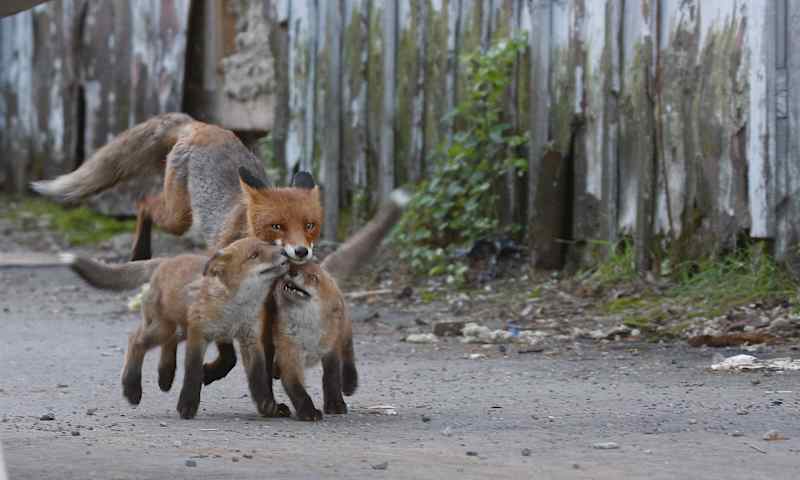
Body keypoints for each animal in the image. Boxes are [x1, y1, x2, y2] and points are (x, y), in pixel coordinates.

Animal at [30, 113, 322, 263]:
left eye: (310, 226)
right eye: (277, 226)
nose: (302, 251)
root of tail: (200, 125)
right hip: (178, 218)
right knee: (144, 203)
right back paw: (140, 253)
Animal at [80, 238, 292, 419]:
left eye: (269, 244)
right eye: (254, 255)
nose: (284, 251)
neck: (235, 307)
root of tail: (165, 261)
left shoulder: (249, 339)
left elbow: (258, 376)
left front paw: (267, 405)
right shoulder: (199, 335)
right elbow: (193, 371)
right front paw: (187, 405)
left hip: (180, 329)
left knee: (167, 342)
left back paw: (165, 375)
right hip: (164, 328)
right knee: (136, 340)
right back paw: (132, 388)